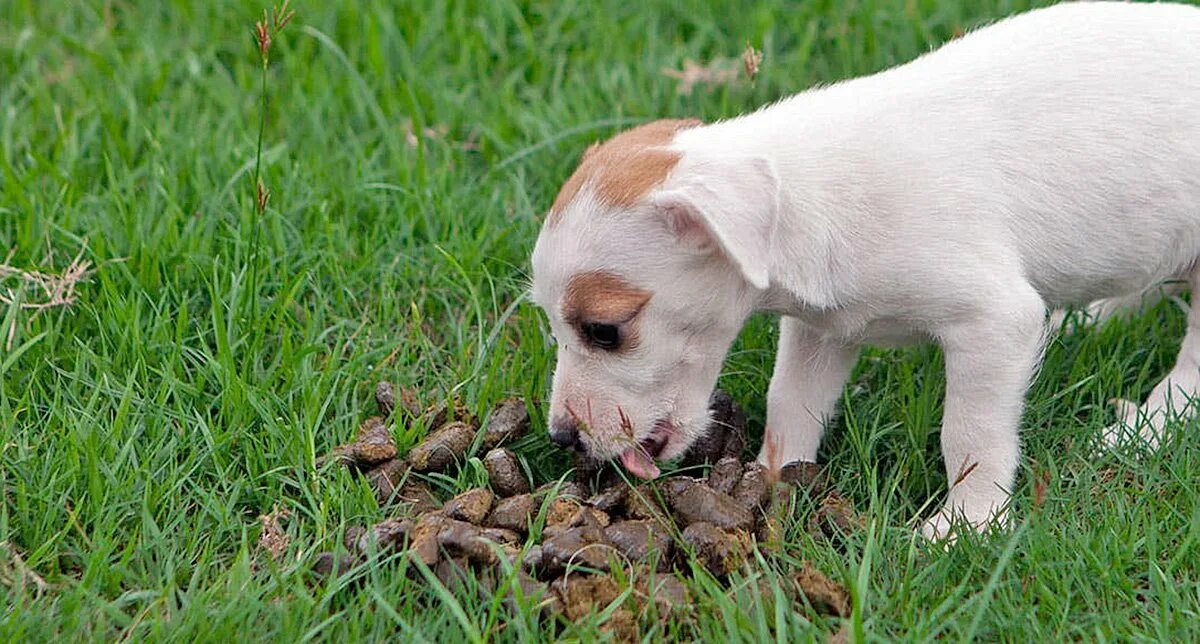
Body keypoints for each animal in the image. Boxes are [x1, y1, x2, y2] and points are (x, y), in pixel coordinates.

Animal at [530, 1, 1200, 537]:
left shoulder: (993, 322)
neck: (808, 193)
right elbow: (790, 403)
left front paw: (966, 526)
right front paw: (768, 480)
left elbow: (970, 435)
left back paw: (1150, 422)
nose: (561, 438)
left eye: (604, 331)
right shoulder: (821, 330)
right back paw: (1088, 321)